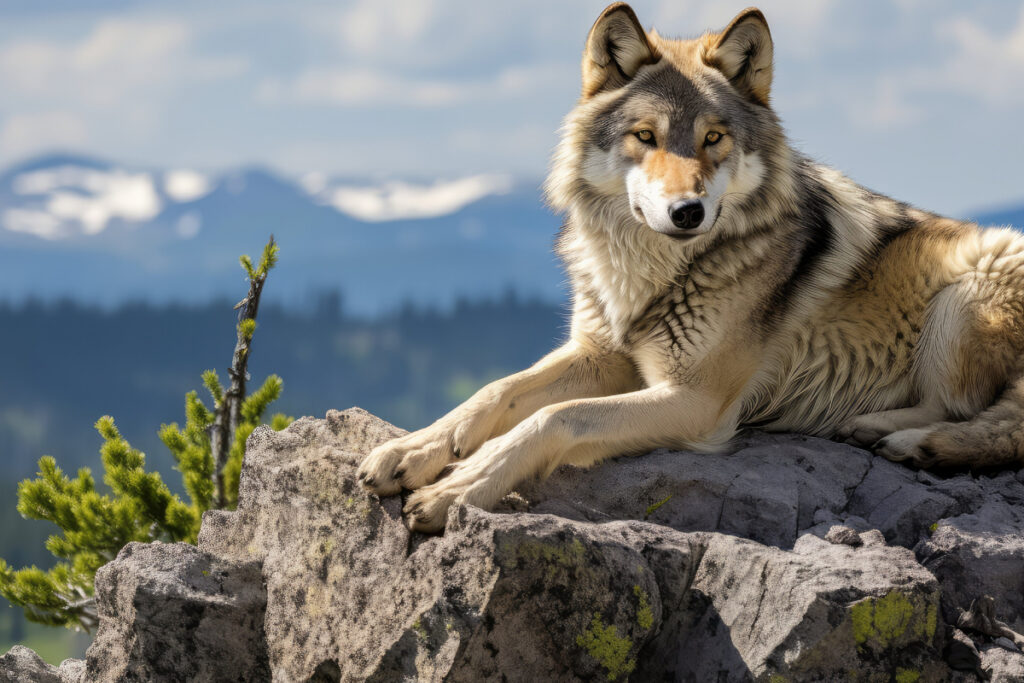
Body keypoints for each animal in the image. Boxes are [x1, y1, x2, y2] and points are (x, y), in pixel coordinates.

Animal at [358, 3, 1024, 532]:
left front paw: (457, 488)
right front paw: (412, 451)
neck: (648, 273)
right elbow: (497, 390)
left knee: (969, 413)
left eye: (714, 138)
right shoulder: (602, 355)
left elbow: (555, 417)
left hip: (972, 284)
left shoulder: (695, 399)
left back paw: (896, 436)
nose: (687, 211)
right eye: (645, 136)